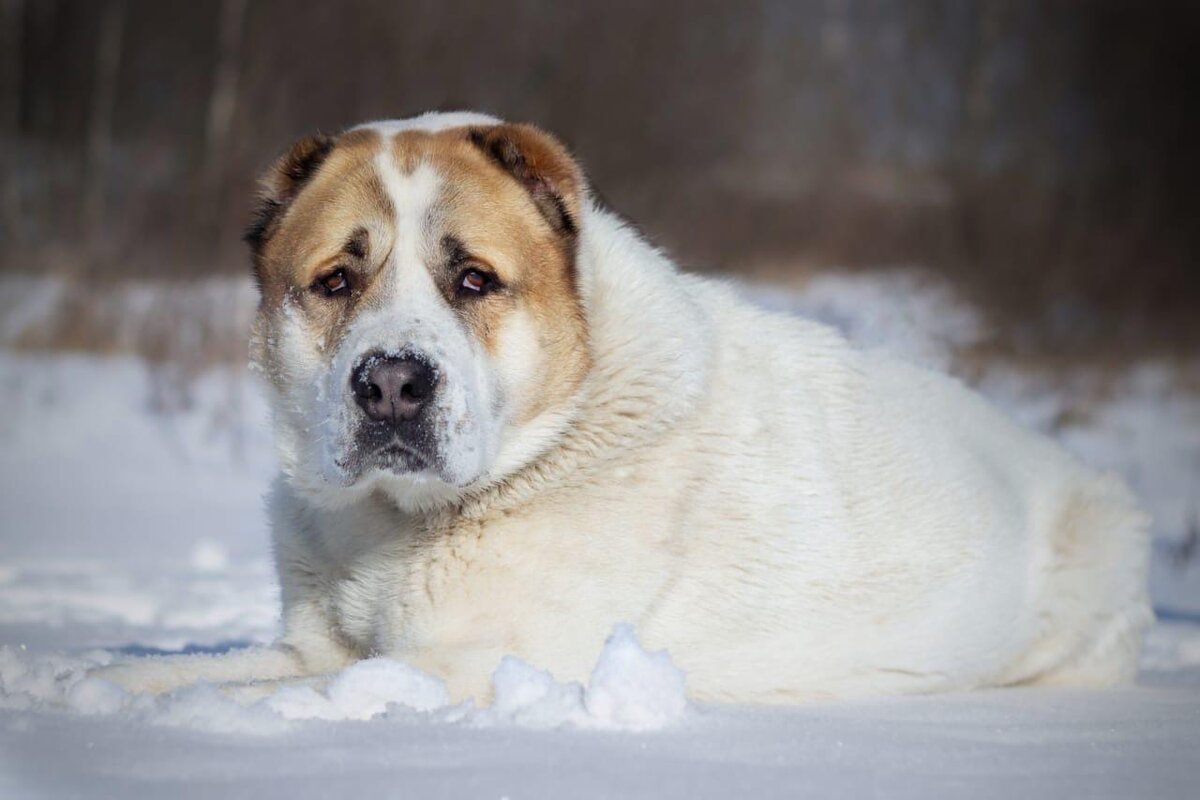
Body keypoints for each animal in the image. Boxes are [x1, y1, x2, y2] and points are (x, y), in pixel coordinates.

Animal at [96, 113, 1152, 705]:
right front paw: (100, 680)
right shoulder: (311, 640)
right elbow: (220, 664)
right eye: (335, 281)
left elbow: (328, 684)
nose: (392, 383)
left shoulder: (484, 659)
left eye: (473, 279)